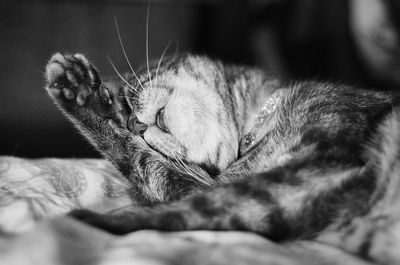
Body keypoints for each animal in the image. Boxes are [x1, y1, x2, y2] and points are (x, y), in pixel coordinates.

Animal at [45, 51, 400, 262]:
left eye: (133, 96)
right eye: (127, 113)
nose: (134, 122)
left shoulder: (323, 165)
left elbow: (185, 210)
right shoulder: (207, 181)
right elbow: (146, 166)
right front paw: (84, 96)